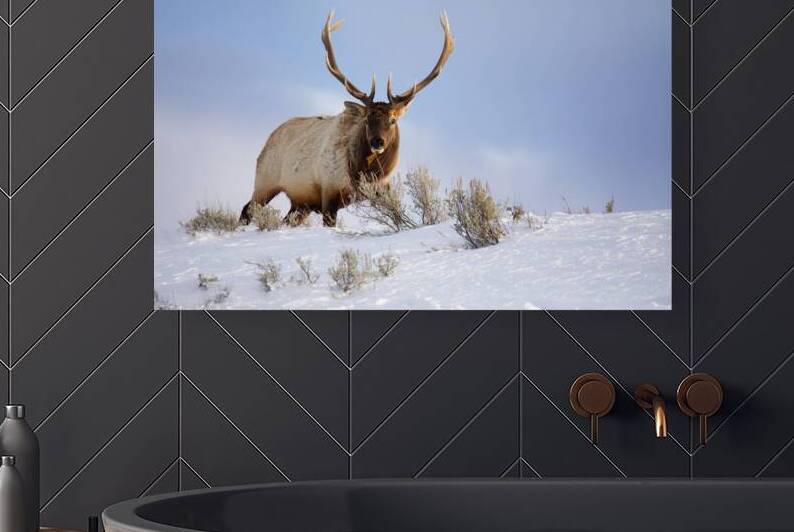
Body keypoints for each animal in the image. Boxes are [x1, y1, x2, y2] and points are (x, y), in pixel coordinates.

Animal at [240, 11, 454, 227]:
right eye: (366, 120)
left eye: (393, 120)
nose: (377, 142)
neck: (362, 174)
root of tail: (269, 138)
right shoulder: (329, 194)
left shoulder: (383, 190)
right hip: (265, 181)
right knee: (246, 210)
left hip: (301, 203)